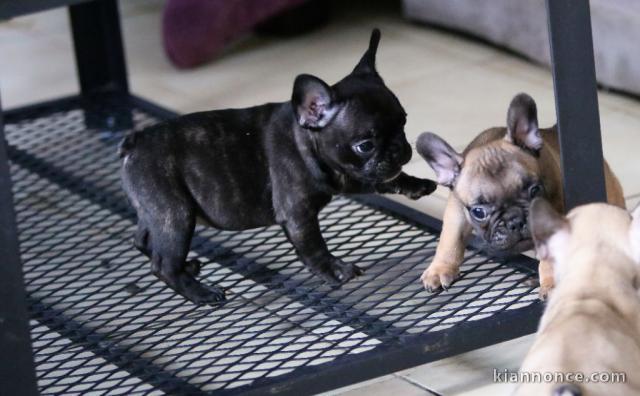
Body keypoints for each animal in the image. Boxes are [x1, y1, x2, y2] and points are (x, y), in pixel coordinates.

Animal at [119, 29, 438, 304]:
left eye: (403, 121)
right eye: (366, 145)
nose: (400, 149)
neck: (305, 138)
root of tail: (136, 141)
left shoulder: (348, 174)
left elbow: (383, 178)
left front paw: (416, 184)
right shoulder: (298, 215)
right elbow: (313, 248)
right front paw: (336, 271)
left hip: (156, 211)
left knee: (142, 240)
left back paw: (188, 269)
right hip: (176, 214)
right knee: (163, 264)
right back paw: (201, 293)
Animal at [416, 92, 624, 296]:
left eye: (534, 191)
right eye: (478, 212)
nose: (515, 221)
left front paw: (550, 283)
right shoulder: (456, 210)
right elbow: (450, 238)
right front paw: (440, 269)